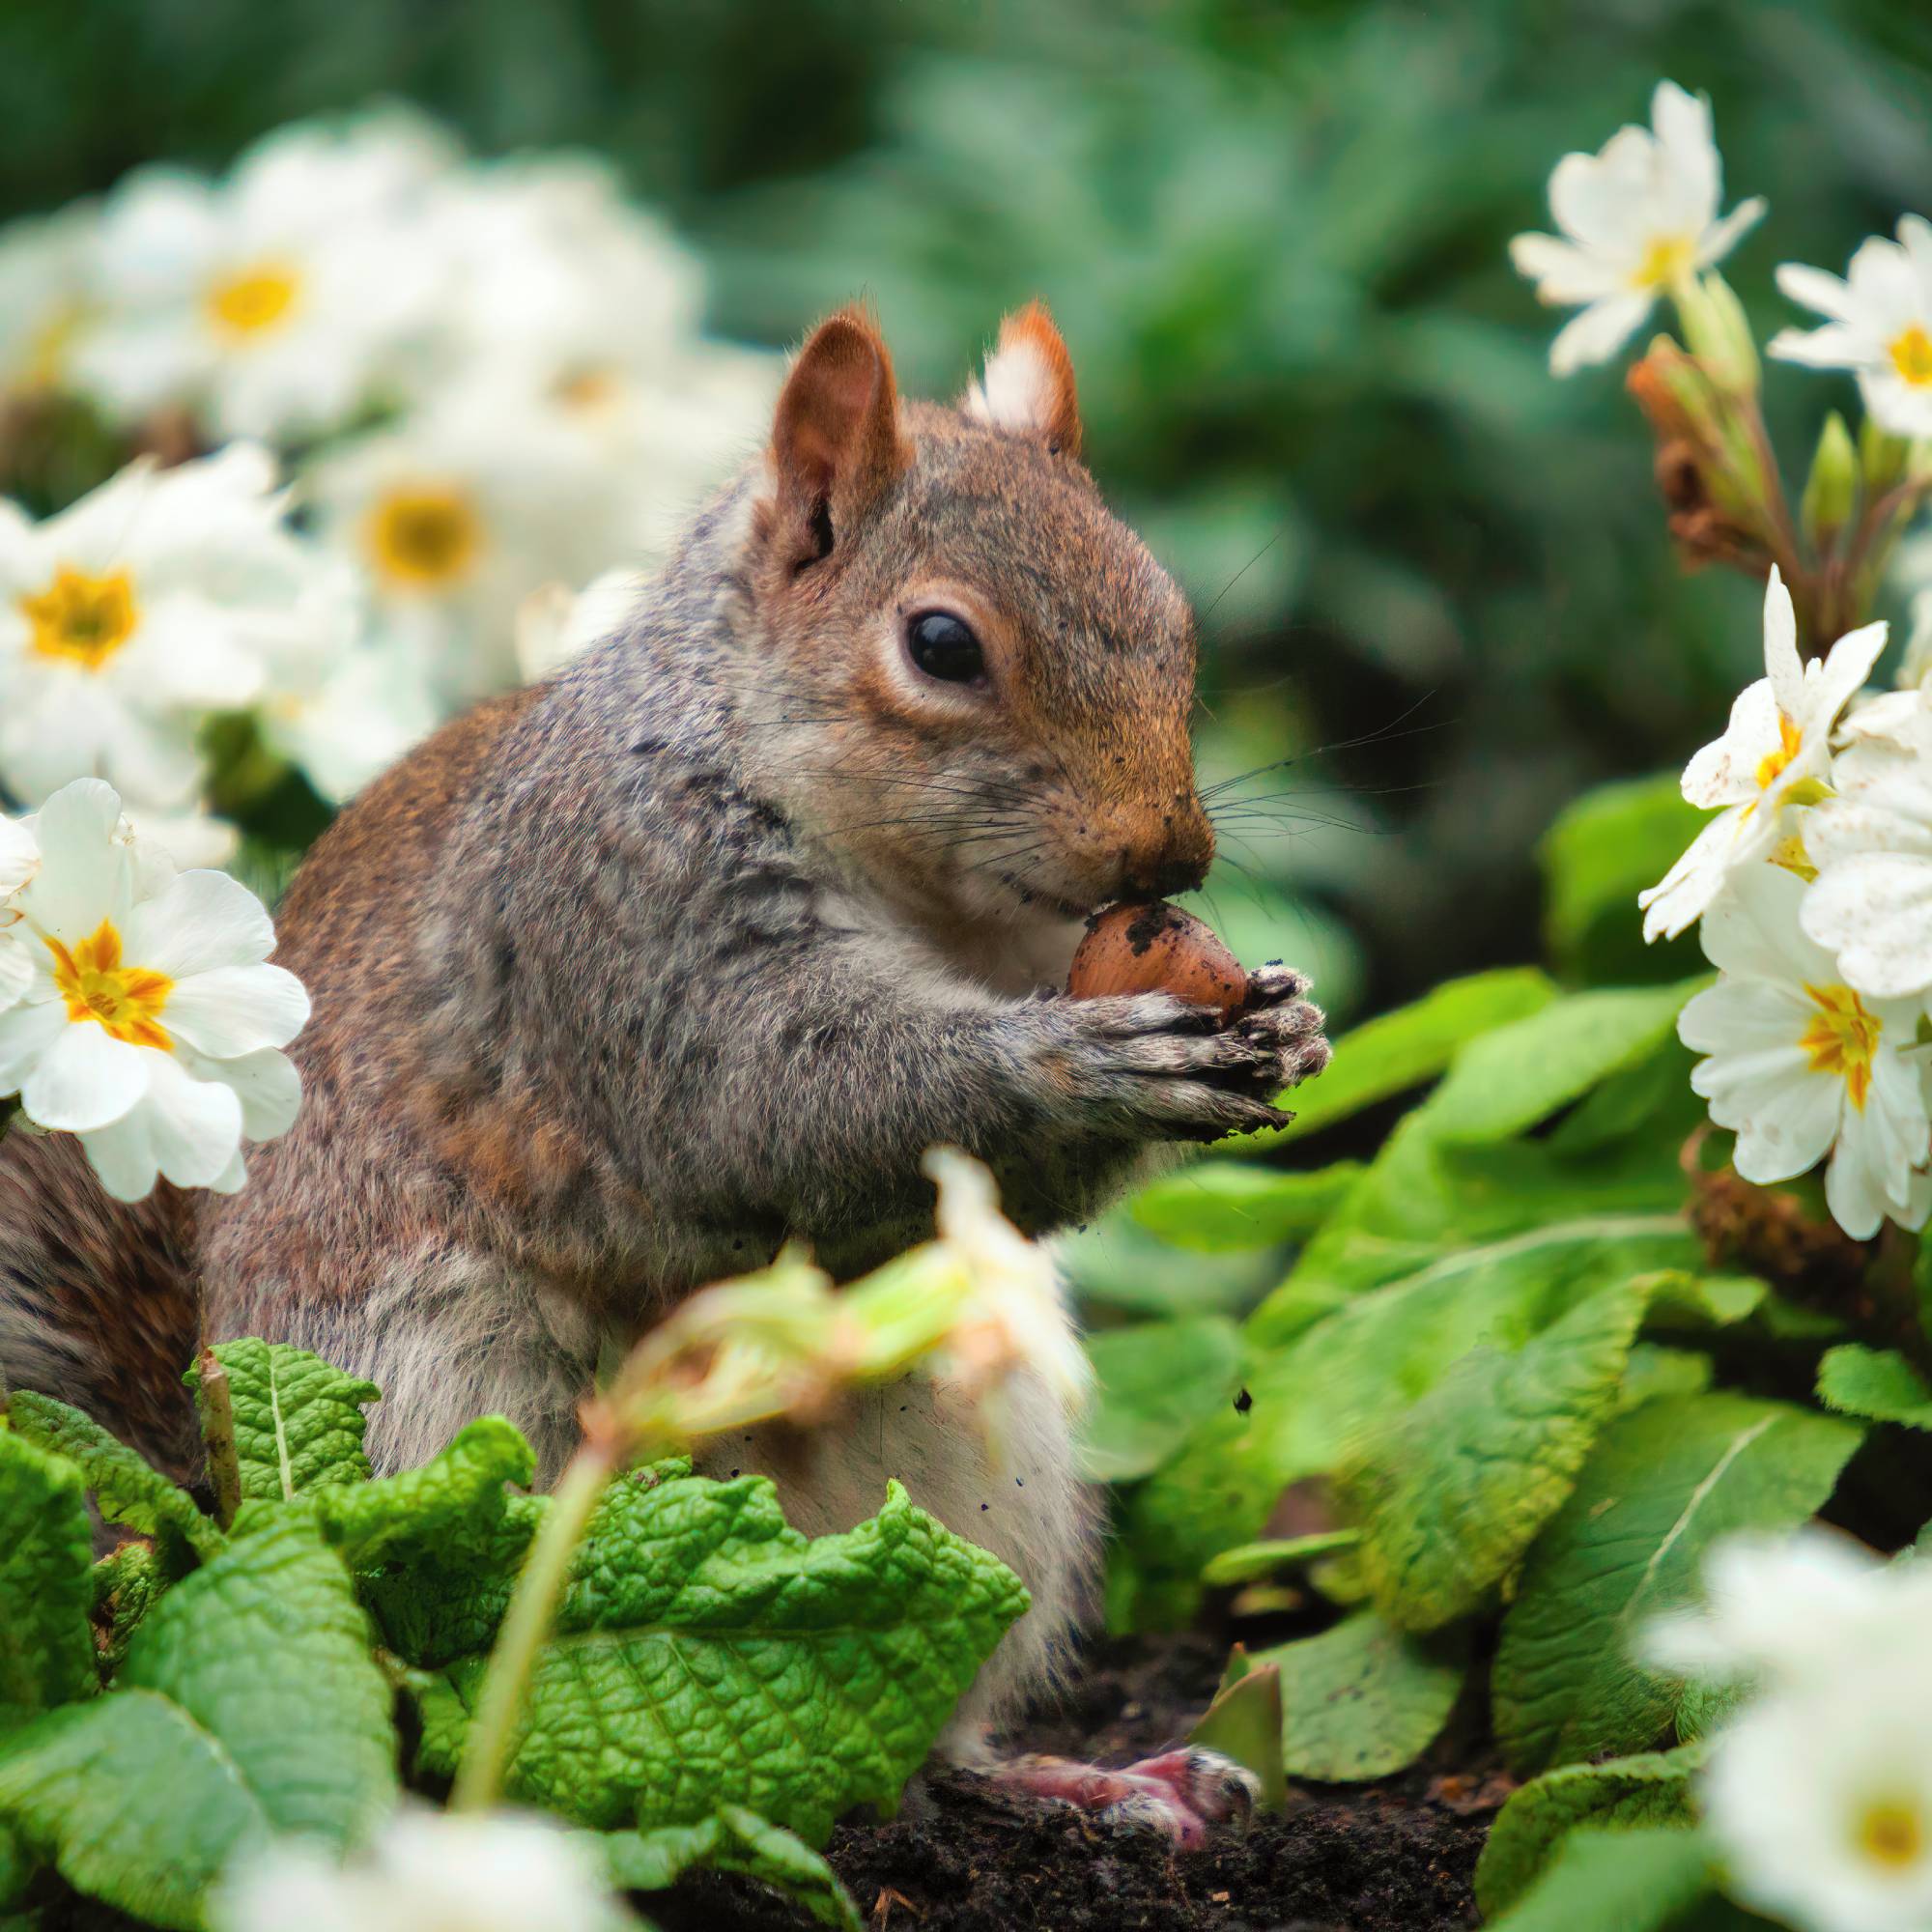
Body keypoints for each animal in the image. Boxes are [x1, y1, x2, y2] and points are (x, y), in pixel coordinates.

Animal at [0, 302, 1329, 1842]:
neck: (924, 894)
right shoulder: (622, 914)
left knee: (920, 1710)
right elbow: (776, 1108)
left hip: (979, 1449)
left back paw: (1085, 1776)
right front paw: (1086, 1064)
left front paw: (1288, 1019)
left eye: (1172, 618)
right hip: (456, 1418)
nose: (1169, 852)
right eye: (940, 643)